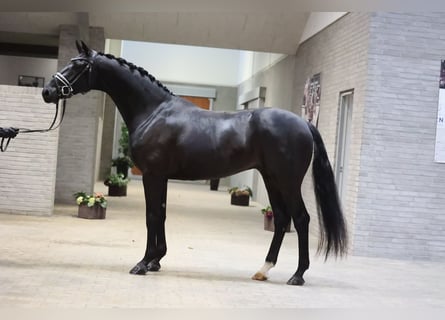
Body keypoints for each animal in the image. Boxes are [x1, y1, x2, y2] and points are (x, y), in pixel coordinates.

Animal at [41, 41, 346, 286]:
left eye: (79, 65)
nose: (47, 91)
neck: (154, 111)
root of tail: (303, 123)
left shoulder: (152, 174)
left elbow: (152, 215)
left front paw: (143, 263)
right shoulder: (160, 176)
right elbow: (161, 214)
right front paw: (156, 261)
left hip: (287, 181)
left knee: (301, 219)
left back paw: (297, 275)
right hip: (272, 179)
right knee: (282, 218)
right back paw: (263, 269)